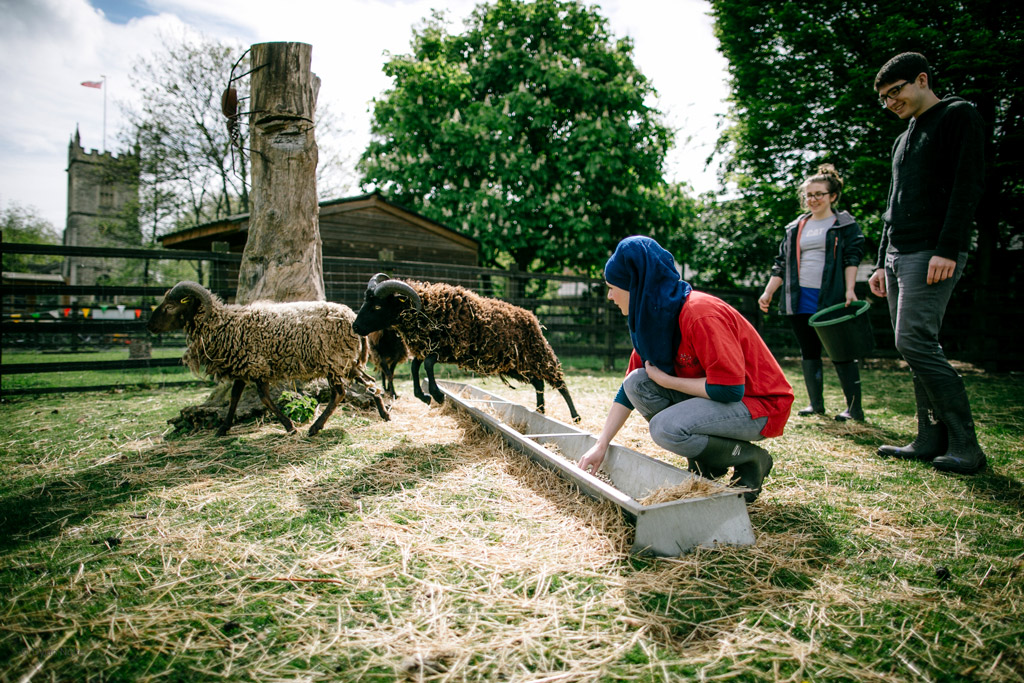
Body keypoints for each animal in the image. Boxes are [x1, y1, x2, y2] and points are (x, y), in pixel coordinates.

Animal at [149, 282, 391, 438]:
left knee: (339, 393)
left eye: (170, 306)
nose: (149, 326)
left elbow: (264, 398)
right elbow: (234, 397)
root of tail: (352, 319)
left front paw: (289, 426)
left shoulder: (256, 366)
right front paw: (223, 428)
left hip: (333, 361)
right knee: (369, 382)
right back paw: (383, 413)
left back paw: (315, 428)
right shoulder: (244, 366)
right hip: (346, 362)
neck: (223, 324)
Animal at [350, 270, 577, 421]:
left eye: (377, 306)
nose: (355, 326)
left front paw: (438, 395)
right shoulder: (427, 348)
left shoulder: (447, 349)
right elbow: (415, 367)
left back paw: (575, 416)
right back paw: (540, 411)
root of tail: (532, 318)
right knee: (539, 383)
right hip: (516, 365)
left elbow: (428, 366)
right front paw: (423, 396)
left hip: (539, 356)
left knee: (560, 384)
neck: (428, 311)